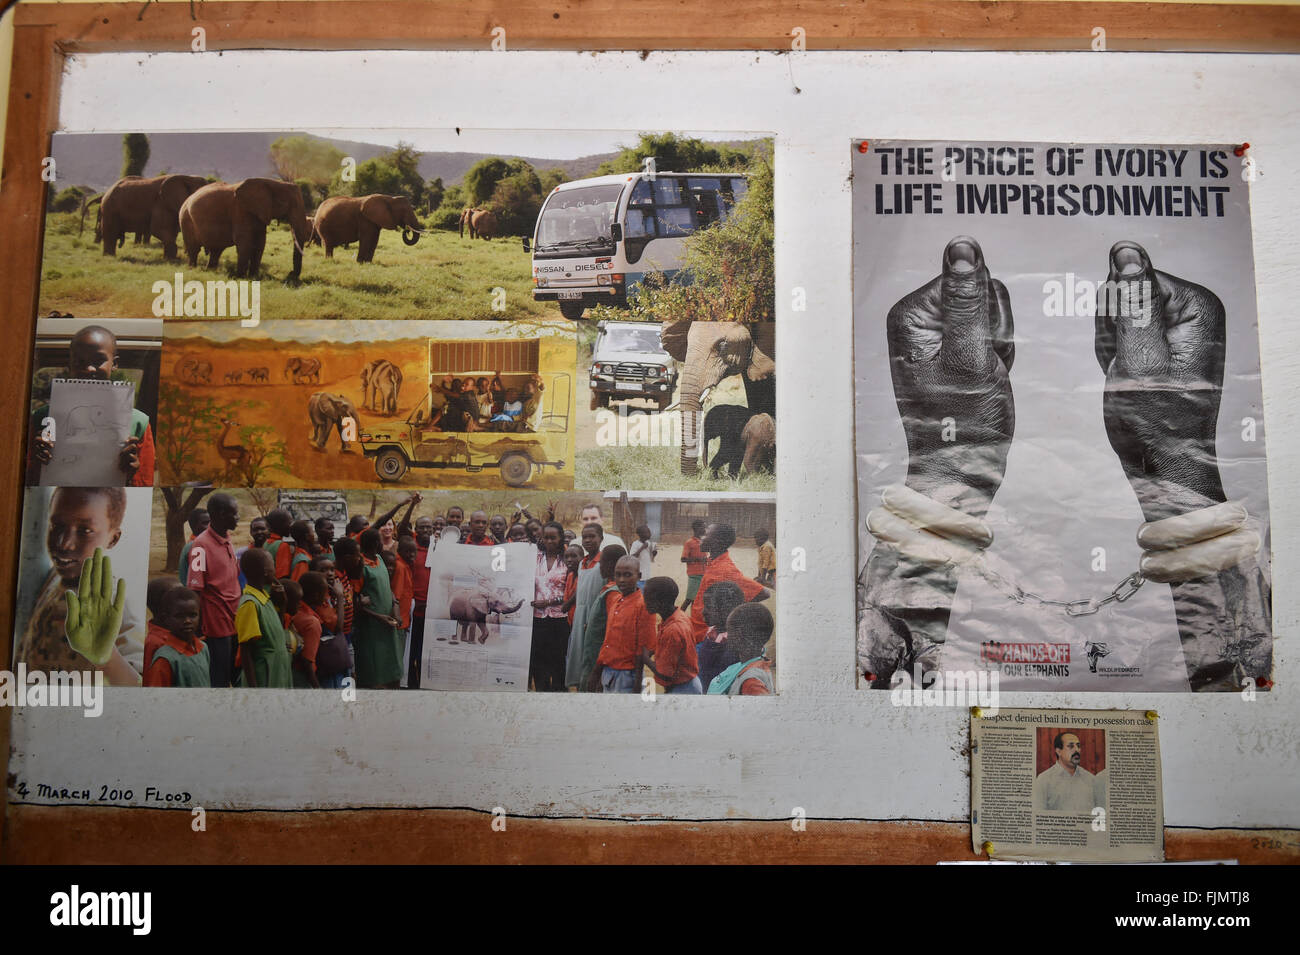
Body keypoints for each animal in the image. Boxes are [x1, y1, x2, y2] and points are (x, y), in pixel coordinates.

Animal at [78, 174, 206, 259]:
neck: (188, 178)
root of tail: (106, 192)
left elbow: (172, 232)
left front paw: (169, 259)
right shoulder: (160, 203)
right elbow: (158, 229)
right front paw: (172, 260)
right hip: (110, 208)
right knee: (110, 232)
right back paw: (109, 257)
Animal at [180, 178, 312, 280]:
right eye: (287, 203)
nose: (290, 274)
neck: (271, 182)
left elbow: (260, 243)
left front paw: (254, 277)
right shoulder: (240, 210)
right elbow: (245, 242)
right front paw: (240, 277)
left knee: (216, 251)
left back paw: (210, 271)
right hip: (185, 219)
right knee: (194, 249)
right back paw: (192, 269)